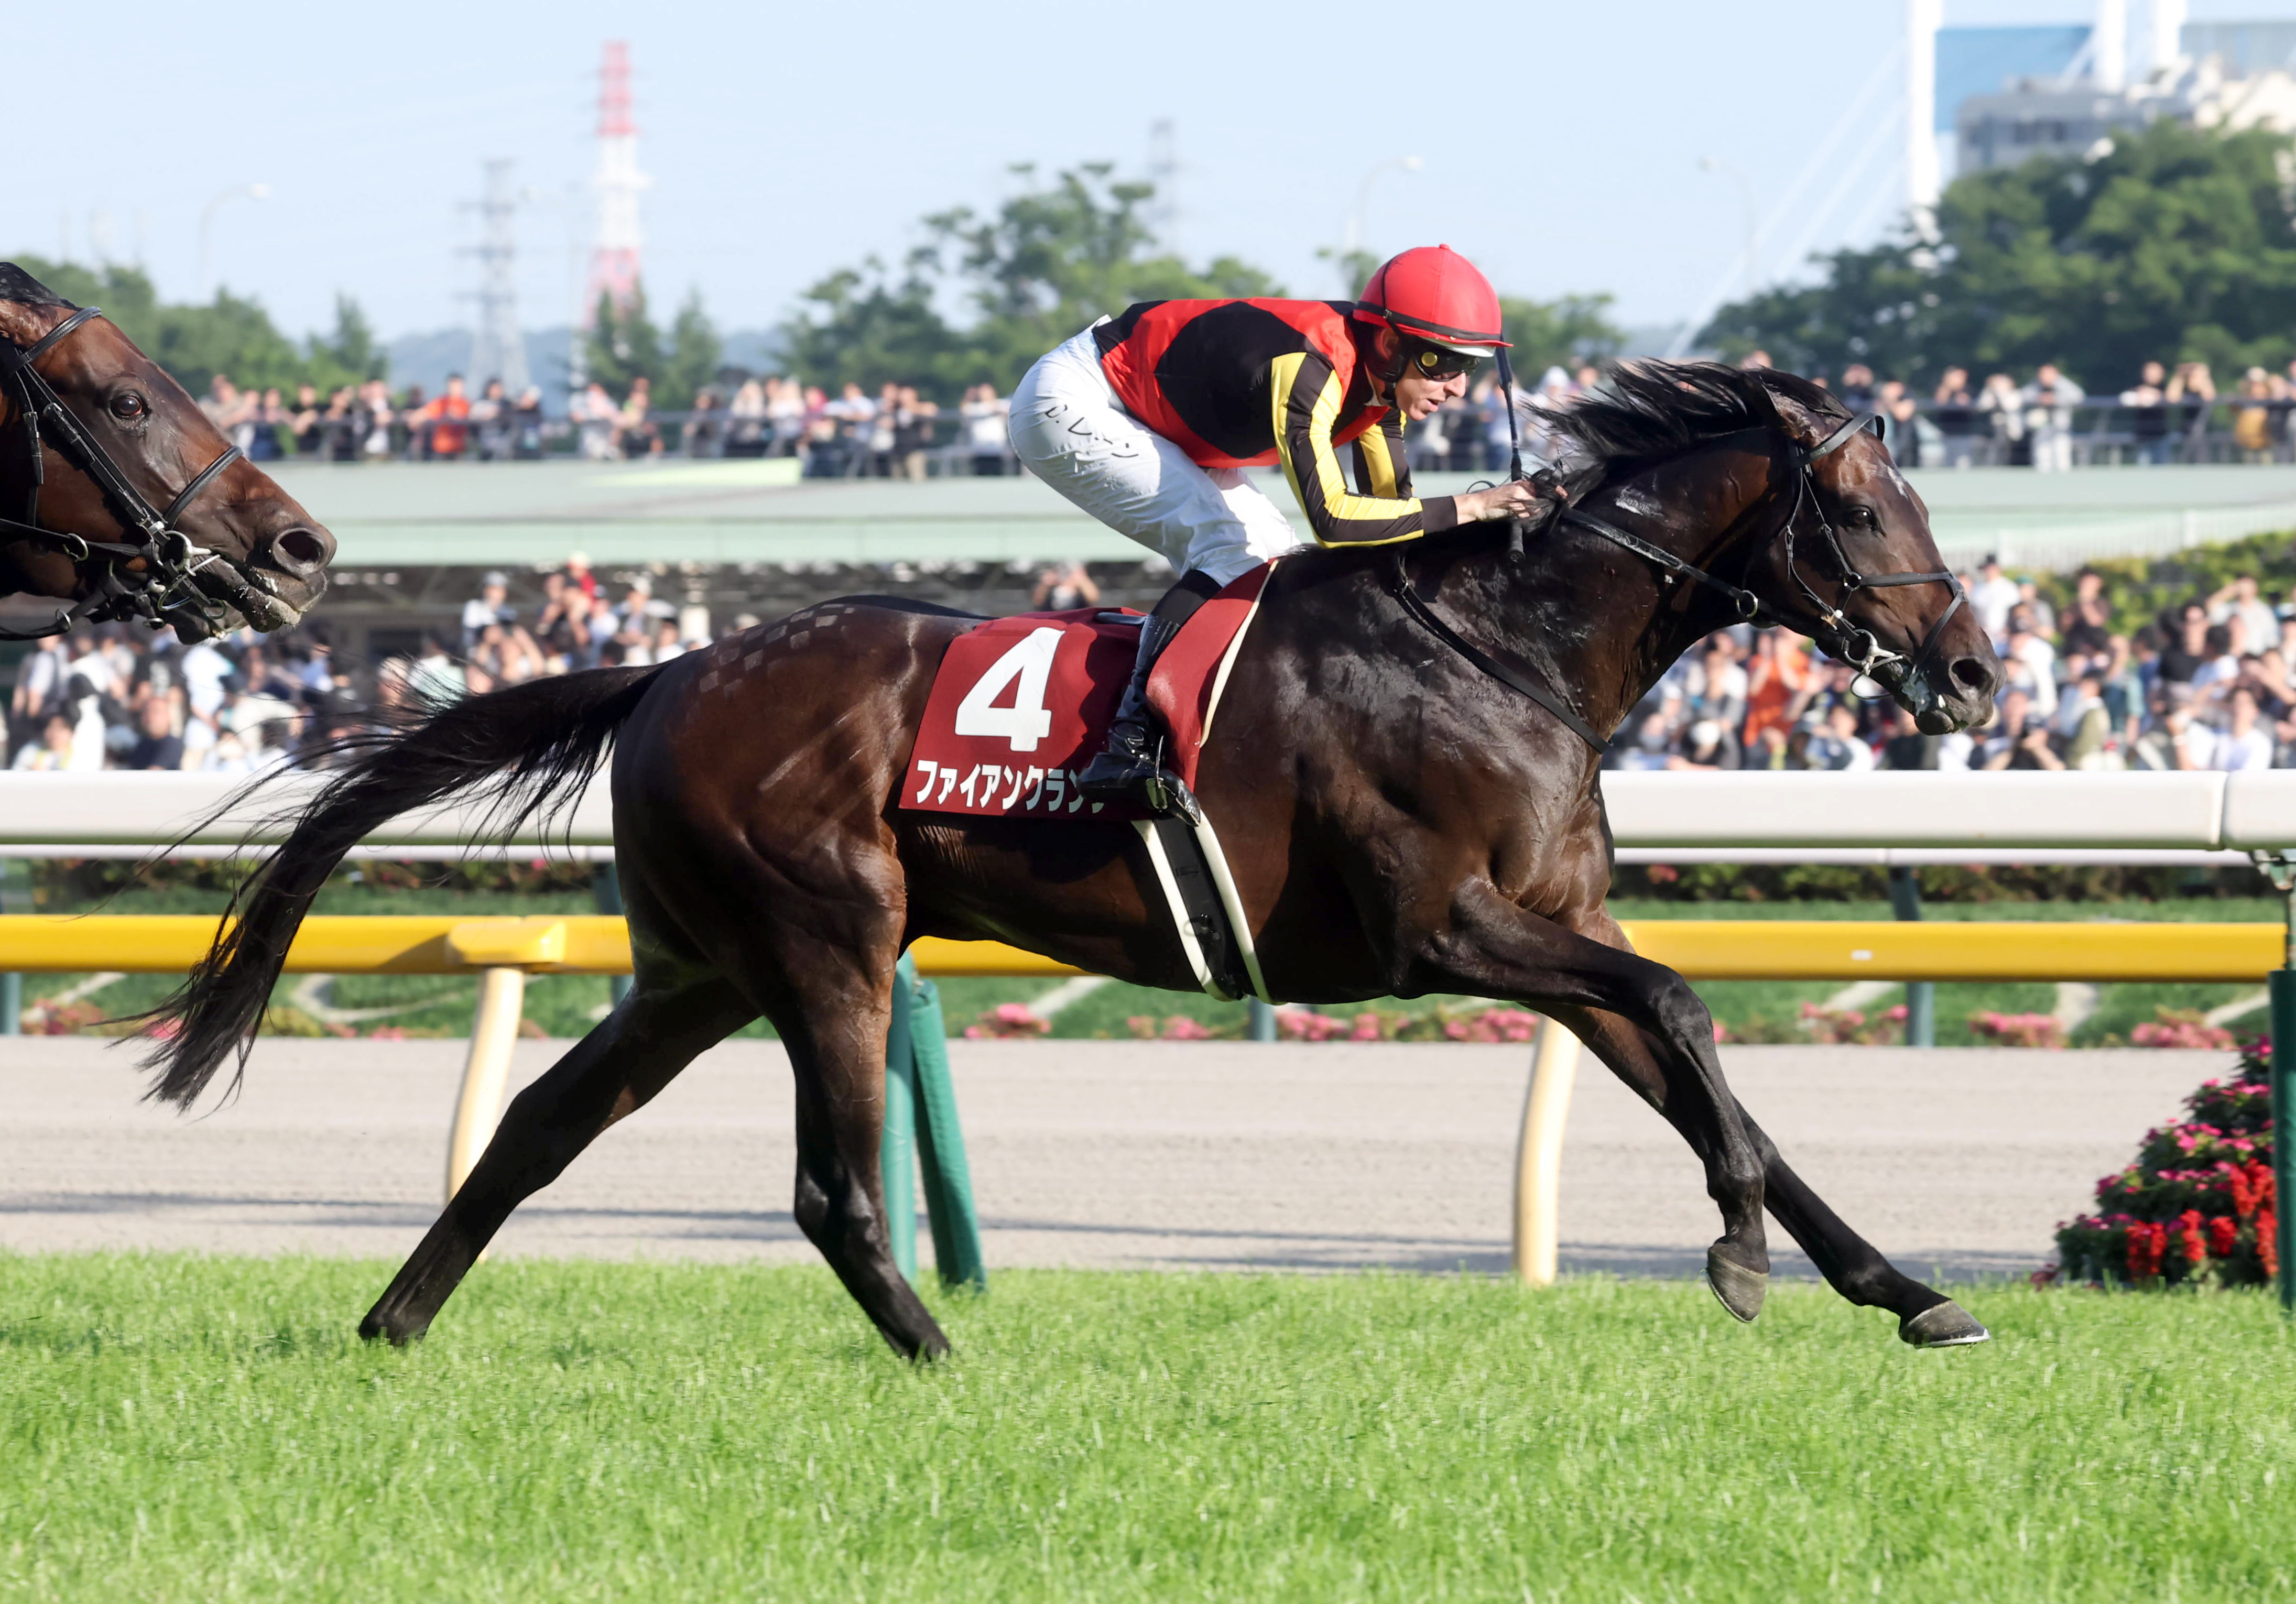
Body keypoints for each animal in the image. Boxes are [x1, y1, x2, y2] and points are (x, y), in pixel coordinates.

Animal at [143, 360, 2001, 1361]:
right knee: (827, 1187)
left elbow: (1707, 1077)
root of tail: (668, 669)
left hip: (696, 965)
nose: (1975, 674)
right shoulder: (1442, 932)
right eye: (1860, 510)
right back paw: (940, 1353)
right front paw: (1741, 1257)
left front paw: (1902, 1288)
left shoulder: (1544, 928)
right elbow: (1688, 1014)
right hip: (830, 935)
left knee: (538, 1126)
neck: (1503, 644)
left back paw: (392, 1325)